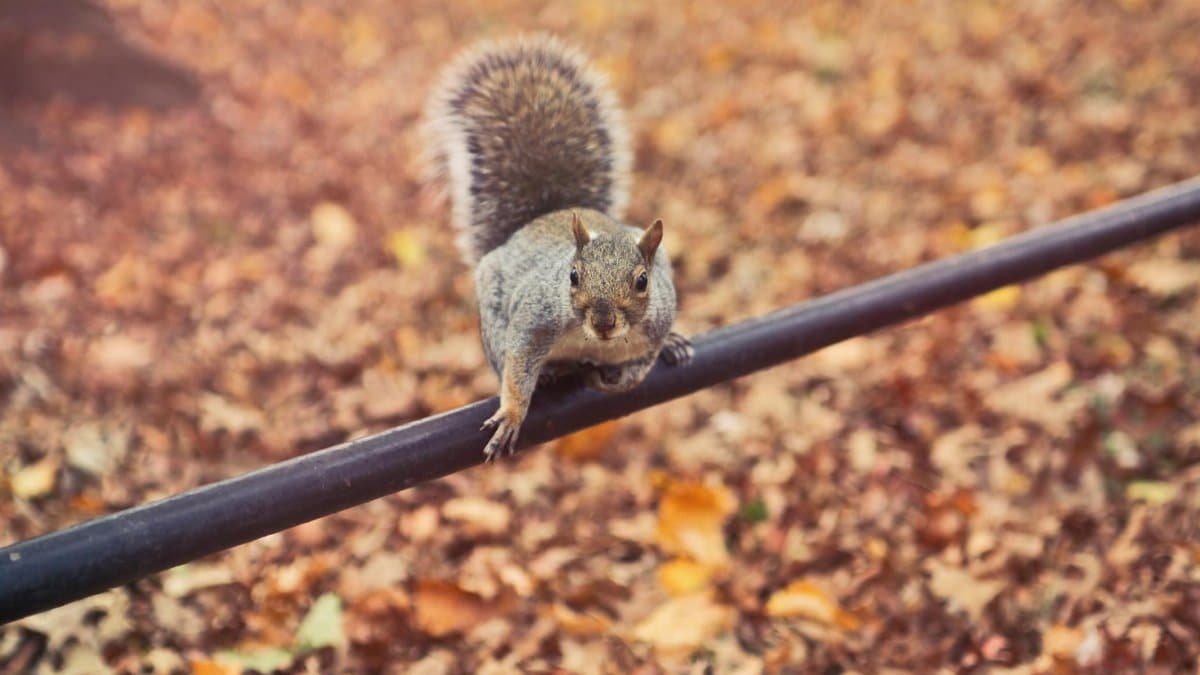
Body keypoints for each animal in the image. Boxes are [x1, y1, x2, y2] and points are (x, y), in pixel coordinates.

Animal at [422, 34, 693, 459]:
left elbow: (641, 366)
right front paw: (512, 414)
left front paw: (626, 376)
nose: (603, 321)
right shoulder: (534, 318)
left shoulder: (657, 320)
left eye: (642, 281)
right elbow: (517, 366)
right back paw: (551, 372)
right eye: (573, 276)